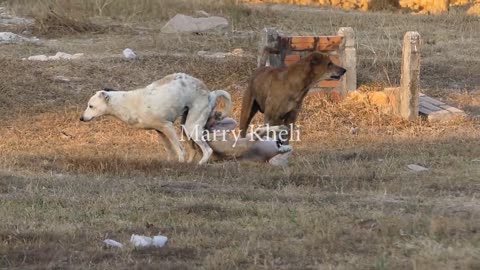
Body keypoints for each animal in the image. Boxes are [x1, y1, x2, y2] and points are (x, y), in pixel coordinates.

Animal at [79, 72, 232, 165]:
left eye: (91, 106)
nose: (81, 118)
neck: (127, 103)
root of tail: (210, 94)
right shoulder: (160, 131)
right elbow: (170, 149)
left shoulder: (167, 126)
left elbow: (179, 149)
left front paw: (179, 163)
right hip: (185, 127)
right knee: (194, 150)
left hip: (191, 127)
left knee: (207, 150)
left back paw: (200, 164)